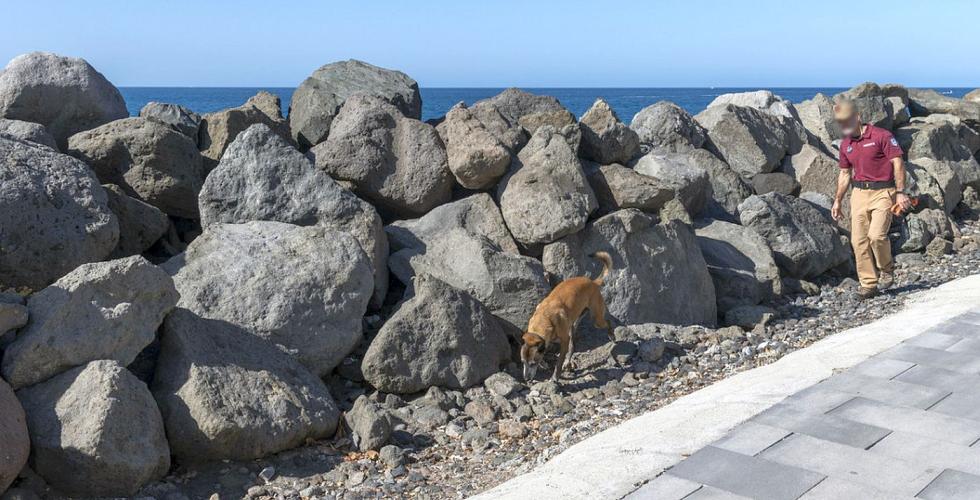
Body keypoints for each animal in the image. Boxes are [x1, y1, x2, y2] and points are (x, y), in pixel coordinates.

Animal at [520, 252, 612, 380]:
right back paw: (568, 362)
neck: (545, 318)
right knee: (573, 347)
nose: (526, 379)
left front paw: (555, 377)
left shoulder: (564, 341)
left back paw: (611, 335)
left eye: (533, 363)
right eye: (522, 362)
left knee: (608, 322)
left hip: (596, 320)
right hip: (573, 325)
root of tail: (593, 282)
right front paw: (544, 364)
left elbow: (558, 362)